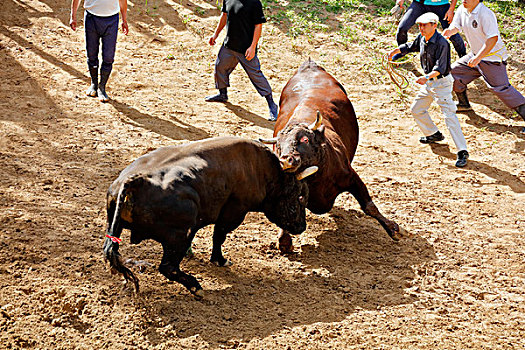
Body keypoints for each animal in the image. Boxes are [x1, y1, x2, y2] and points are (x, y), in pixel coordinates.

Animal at [102, 137, 316, 298]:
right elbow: (219, 235)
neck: (259, 168)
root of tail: (133, 181)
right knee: (168, 267)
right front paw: (219, 260)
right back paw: (195, 286)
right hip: (178, 237)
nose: (302, 226)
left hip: (117, 227)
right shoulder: (234, 212)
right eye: (300, 196)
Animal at [260, 58, 400, 253]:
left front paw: (392, 228)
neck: (318, 179)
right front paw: (284, 241)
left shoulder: (350, 175)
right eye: (278, 147)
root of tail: (309, 66)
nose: (285, 160)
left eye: (304, 139)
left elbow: (369, 206)